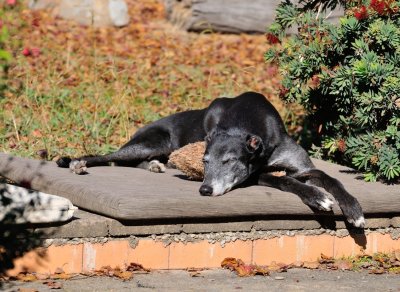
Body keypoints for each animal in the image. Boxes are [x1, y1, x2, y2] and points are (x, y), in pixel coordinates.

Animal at [57, 92, 366, 227]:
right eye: (204, 161)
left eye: (229, 161)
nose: (204, 190)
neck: (246, 124)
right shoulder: (255, 175)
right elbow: (287, 182)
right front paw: (318, 197)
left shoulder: (302, 165)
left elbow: (329, 178)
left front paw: (353, 209)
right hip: (149, 142)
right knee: (110, 156)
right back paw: (76, 163)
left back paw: (156, 166)